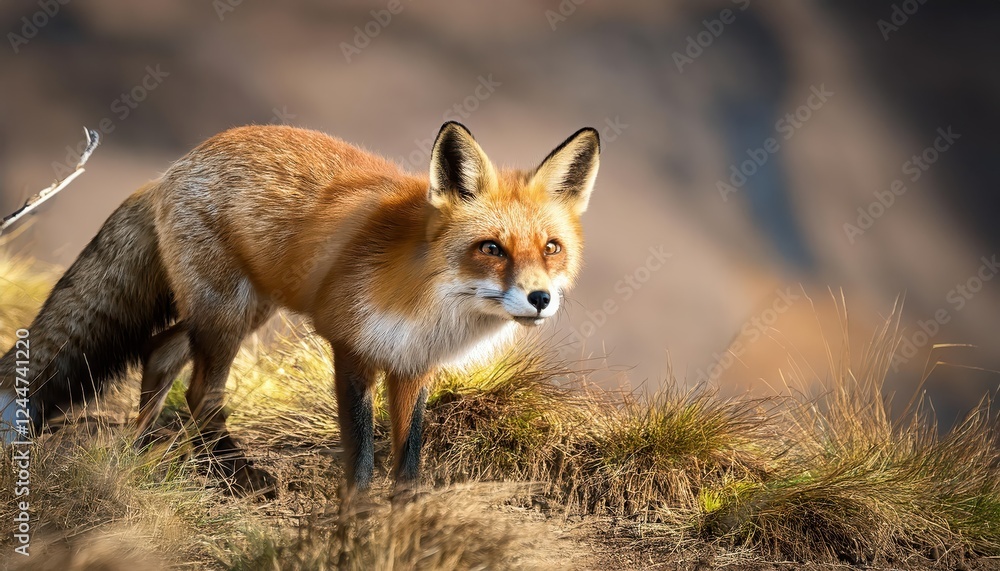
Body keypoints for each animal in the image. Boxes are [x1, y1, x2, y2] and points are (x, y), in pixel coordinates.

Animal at [0, 121, 600, 496]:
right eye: (491, 249)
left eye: (551, 248)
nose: (540, 298)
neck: (429, 300)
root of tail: (170, 169)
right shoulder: (351, 349)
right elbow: (361, 454)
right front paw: (357, 517)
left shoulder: (413, 366)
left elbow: (408, 459)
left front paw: (406, 516)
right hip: (228, 315)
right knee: (200, 392)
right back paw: (234, 473)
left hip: (242, 310)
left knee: (160, 349)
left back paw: (142, 446)